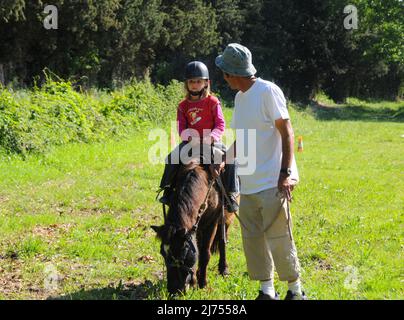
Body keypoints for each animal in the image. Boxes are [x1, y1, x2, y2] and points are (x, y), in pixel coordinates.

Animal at [152, 161, 235, 296]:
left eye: (182, 253)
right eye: (162, 253)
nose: (173, 291)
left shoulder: (211, 224)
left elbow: (205, 253)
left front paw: (202, 284)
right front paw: (195, 280)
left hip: (226, 218)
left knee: (223, 240)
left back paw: (223, 269)